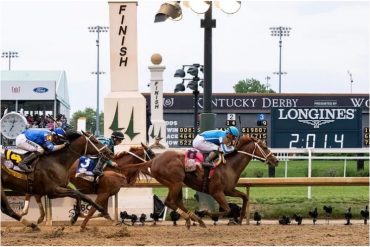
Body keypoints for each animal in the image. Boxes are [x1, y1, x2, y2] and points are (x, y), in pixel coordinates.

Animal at [19, 145, 155, 230]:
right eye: (152, 154)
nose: (157, 164)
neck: (117, 169)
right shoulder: (103, 193)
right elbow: (93, 210)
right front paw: (82, 224)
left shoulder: (107, 194)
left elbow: (102, 211)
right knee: (33, 193)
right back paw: (26, 211)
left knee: (36, 194)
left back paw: (38, 216)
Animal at [139, 136, 278, 229]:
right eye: (265, 147)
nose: (276, 160)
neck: (229, 166)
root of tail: (154, 160)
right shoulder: (217, 192)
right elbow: (227, 209)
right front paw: (204, 212)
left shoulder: (229, 190)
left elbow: (245, 197)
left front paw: (240, 218)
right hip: (175, 182)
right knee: (168, 201)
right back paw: (192, 218)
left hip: (176, 184)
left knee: (177, 202)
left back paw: (196, 220)